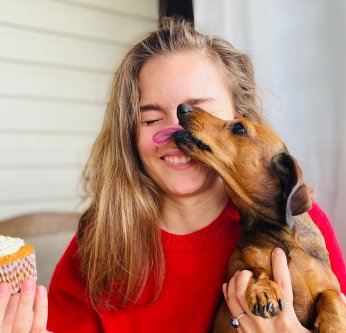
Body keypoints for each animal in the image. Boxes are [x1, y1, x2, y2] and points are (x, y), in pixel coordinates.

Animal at [172, 103, 344, 330]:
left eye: (239, 128)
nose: (182, 107)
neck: (277, 232)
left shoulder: (329, 285)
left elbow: (331, 296)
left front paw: (335, 324)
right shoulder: (238, 269)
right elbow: (256, 270)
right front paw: (264, 290)